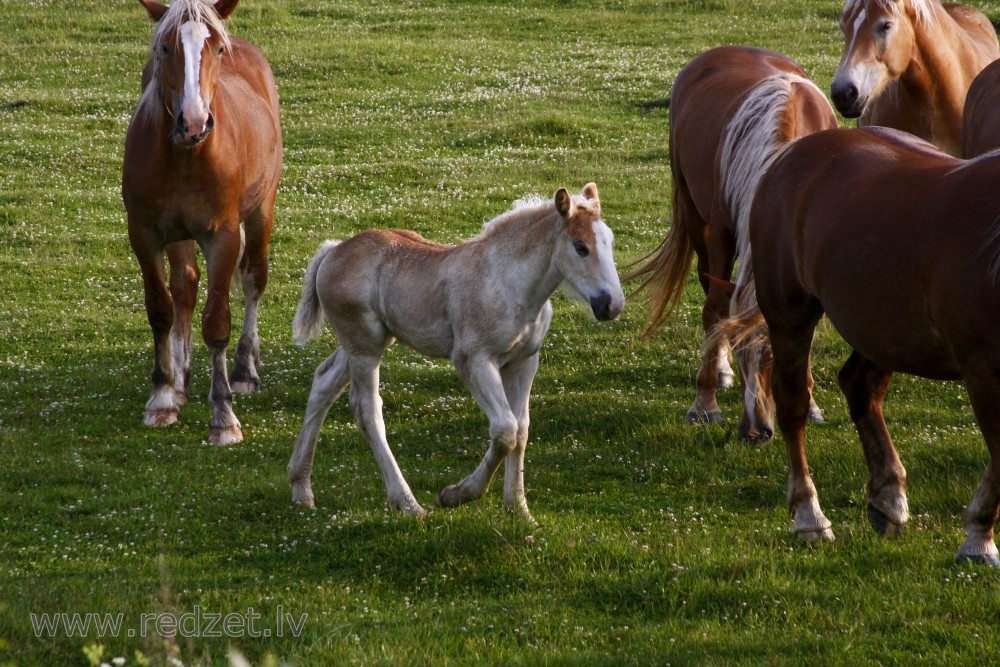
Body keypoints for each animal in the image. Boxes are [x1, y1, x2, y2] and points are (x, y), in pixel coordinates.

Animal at [124, 2, 284, 446]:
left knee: (254, 277)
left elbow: (217, 322)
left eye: (217, 49)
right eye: (164, 47)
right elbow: (161, 308)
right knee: (186, 285)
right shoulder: (145, 234)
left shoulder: (223, 237)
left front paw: (224, 416)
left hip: (261, 211)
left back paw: (245, 370)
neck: (186, 157)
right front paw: (163, 396)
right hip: (179, 235)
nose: (194, 122)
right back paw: (180, 377)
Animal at [286, 185, 620, 524]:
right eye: (580, 247)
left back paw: (301, 490)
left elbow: (522, 430)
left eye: (610, 241)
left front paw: (519, 509)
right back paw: (407, 502)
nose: (612, 304)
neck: (507, 283)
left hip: (367, 343)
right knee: (366, 409)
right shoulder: (473, 359)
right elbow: (506, 431)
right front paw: (456, 495)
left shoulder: (524, 361)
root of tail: (333, 250)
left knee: (323, 382)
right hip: (365, 347)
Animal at [624, 48, 836, 444]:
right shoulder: (722, 231)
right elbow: (716, 310)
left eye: (776, 356)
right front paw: (705, 403)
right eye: (740, 351)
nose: (756, 431)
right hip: (696, 218)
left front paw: (811, 402)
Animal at [720, 125, 1000, 564]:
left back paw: (888, 498)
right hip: (791, 314)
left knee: (859, 385)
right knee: (793, 405)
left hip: (881, 330)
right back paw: (809, 516)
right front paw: (978, 539)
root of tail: (791, 156)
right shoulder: (983, 371)